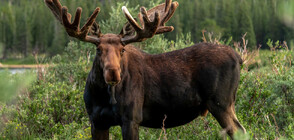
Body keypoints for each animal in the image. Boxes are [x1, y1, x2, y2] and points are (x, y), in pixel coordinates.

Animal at [44, 0, 246, 139]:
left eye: (122, 49)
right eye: (98, 49)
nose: (113, 73)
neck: (103, 96)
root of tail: (239, 58)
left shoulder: (131, 119)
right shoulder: (96, 121)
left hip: (221, 103)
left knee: (241, 131)